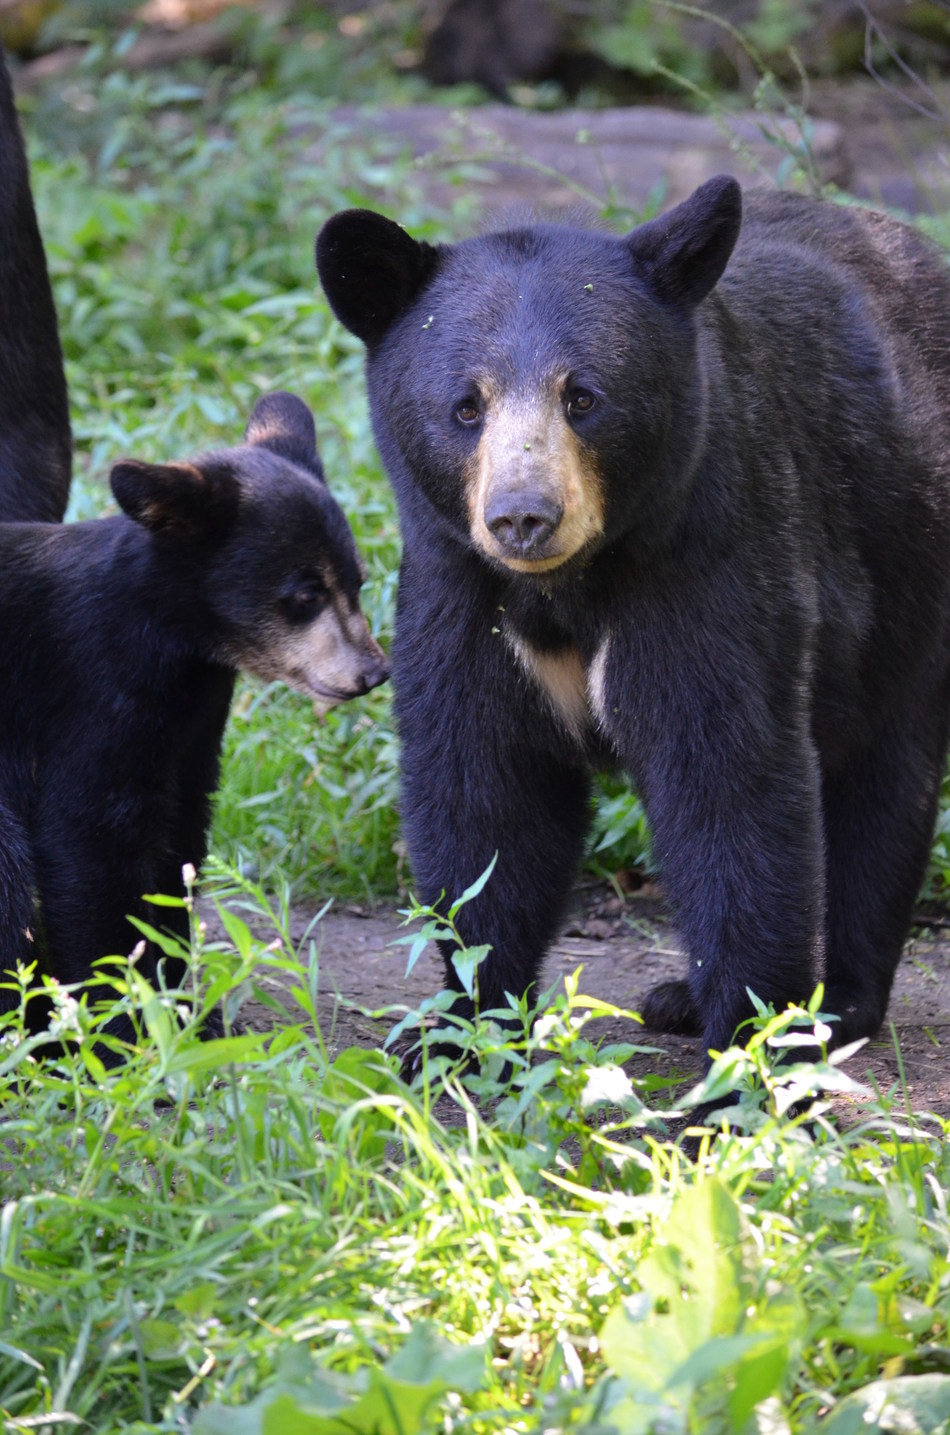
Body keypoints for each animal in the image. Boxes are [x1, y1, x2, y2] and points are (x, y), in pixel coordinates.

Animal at [0, 390, 389, 1046]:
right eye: (305, 595)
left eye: (359, 582)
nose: (373, 672)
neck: (178, 645)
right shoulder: (87, 692)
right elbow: (88, 841)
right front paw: (119, 1031)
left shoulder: (192, 722)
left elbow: (176, 843)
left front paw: (180, 1009)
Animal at [316, 176, 950, 1062]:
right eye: (465, 407)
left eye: (582, 396)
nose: (523, 516)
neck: (565, 586)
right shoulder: (458, 584)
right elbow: (485, 794)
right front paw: (461, 1028)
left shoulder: (708, 554)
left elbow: (730, 781)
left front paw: (747, 1048)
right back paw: (681, 995)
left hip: (906, 567)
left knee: (882, 791)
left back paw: (839, 1004)